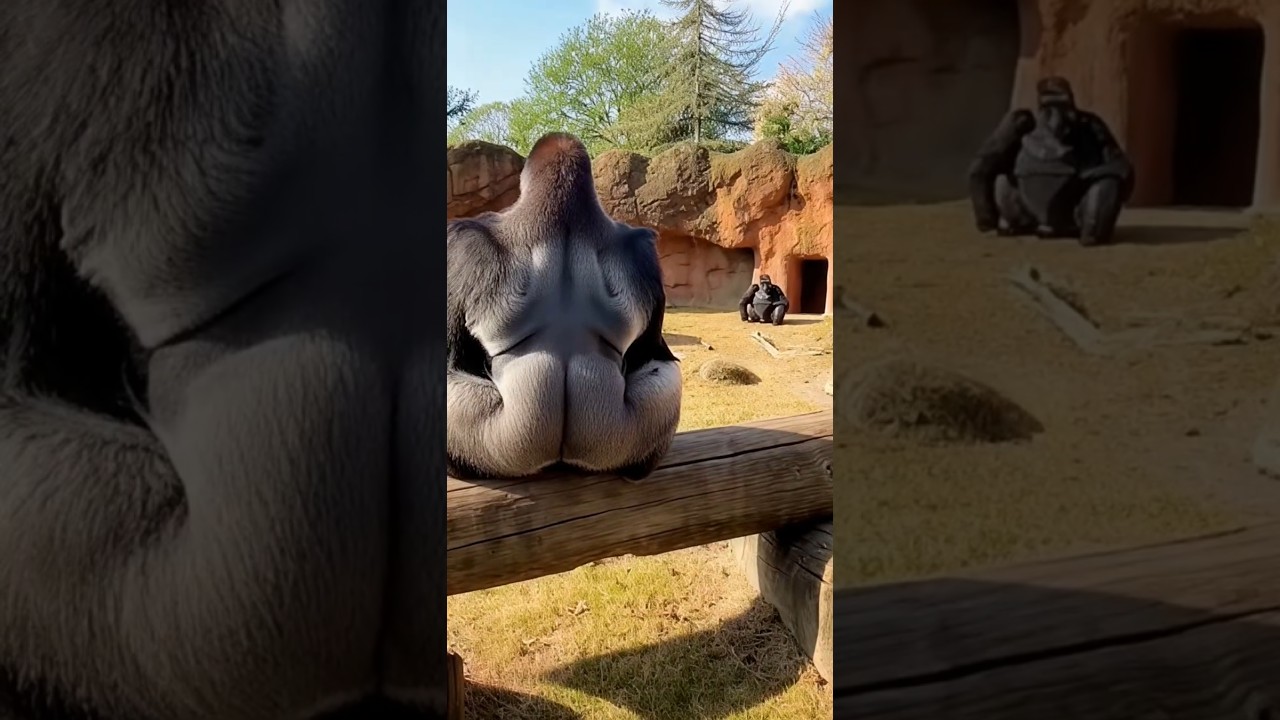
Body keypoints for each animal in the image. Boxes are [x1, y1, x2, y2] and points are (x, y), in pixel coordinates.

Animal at [968, 77, 1135, 246]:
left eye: (1062, 104)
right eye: (1048, 105)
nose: (1054, 117)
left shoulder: (1096, 123)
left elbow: (1120, 165)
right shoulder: (1018, 118)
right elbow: (986, 163)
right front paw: (986, 220)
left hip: (1067, 226)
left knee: (1110, 177)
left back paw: (1090, 235)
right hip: (1034, 223)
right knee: (1003, 175)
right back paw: (1010, 226)